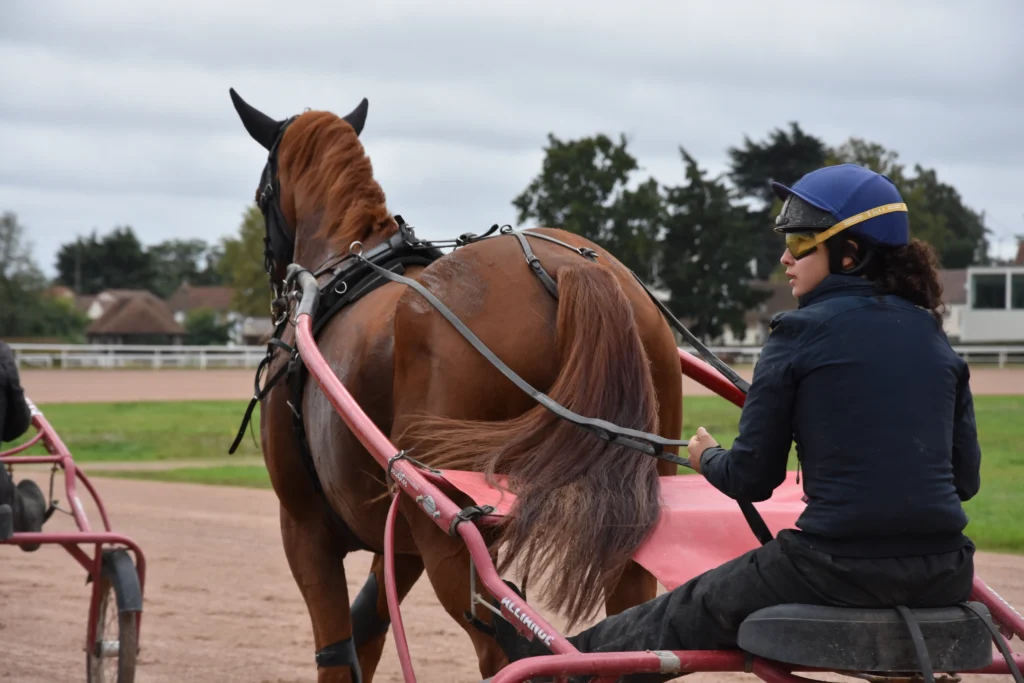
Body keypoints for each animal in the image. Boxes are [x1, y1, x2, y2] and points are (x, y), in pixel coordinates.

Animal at [228, 89, 684, 683]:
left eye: (262, 193)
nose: (273, 274)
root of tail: (567, 271)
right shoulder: (399, 538)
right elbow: (369, 629)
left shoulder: (306, 526)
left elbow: (338, 650)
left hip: (449, 532)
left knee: (505, 651)